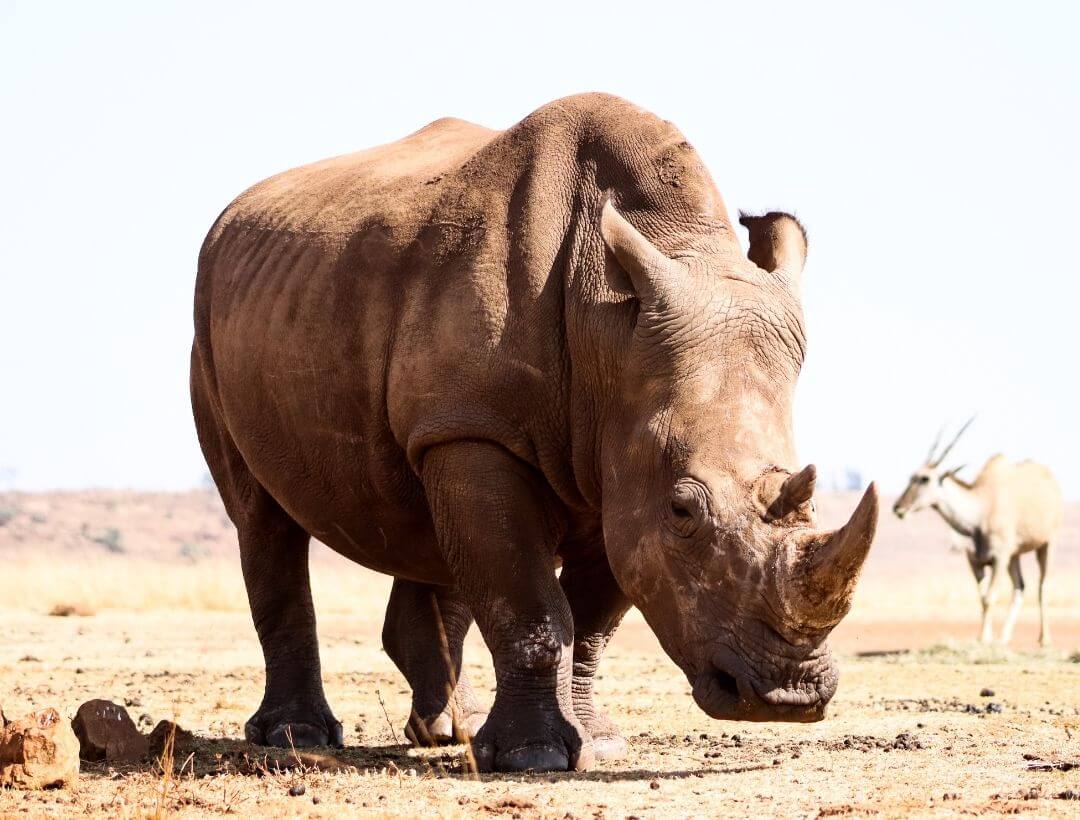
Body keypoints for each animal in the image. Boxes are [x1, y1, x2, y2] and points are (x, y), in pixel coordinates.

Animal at [190, 93, 878, 773]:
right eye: (684, 510)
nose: (786, 697)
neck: (612, 336)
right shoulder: (483, 430)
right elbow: (530, 605)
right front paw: (533, 757)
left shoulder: (612, 465)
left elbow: (592, 619)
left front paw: (598, 745)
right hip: (212, 335)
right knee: (262, 519)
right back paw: (296, 737)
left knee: (429, 524)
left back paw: (452, 731)